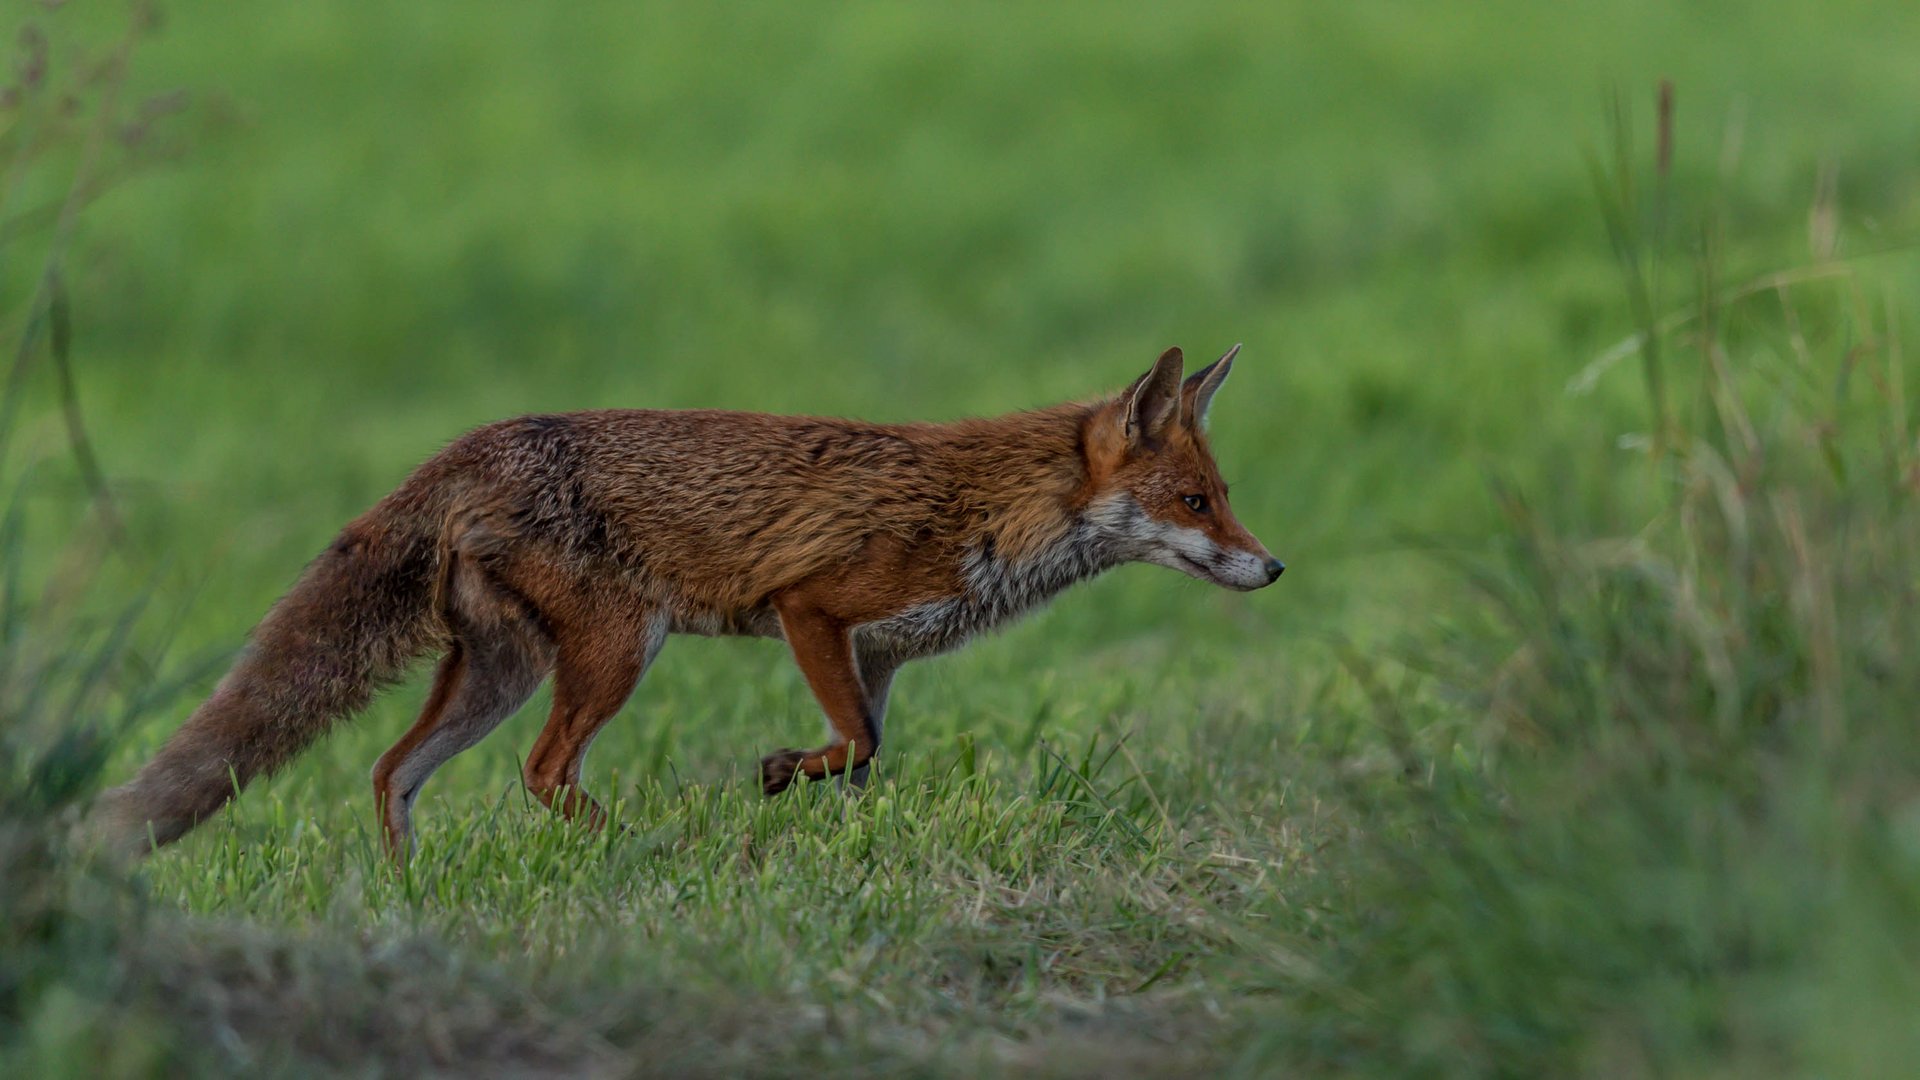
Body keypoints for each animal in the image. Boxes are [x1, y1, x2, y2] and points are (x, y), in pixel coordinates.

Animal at [97, 345, 1282, 857]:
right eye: (1196, 502)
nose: (1272, 570)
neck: (992, 510)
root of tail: (475, 442)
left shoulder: (880, 656)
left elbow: (866, 757)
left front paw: (831, 836)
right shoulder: (815, 608)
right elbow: (853, 744)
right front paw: (775, 783)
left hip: (503, 670)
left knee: (394, 770)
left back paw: (405, 893)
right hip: (620, 648)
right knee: (543, 772)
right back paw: (637, 848)